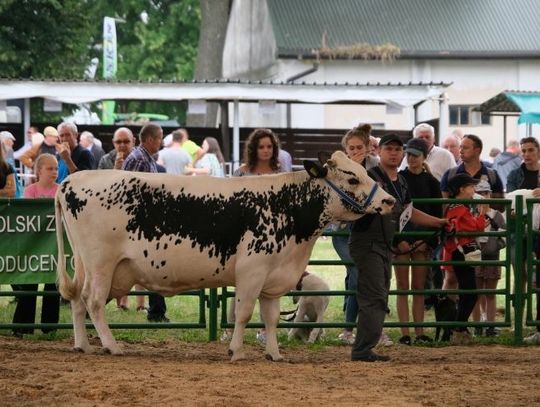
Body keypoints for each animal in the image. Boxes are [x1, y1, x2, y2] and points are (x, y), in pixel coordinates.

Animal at [56, 151, 392, 362]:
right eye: (352, 179)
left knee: (78, 300)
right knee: (93, 301)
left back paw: (83, 345)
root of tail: (72, 180)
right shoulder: (252, 270)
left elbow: (270, 319)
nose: (389, 200)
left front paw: (274, 354)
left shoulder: (272, 278)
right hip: (101, 263)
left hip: (87, 264)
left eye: (365, 173)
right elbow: (243, 314)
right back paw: (111, 346)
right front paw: (236, 351)